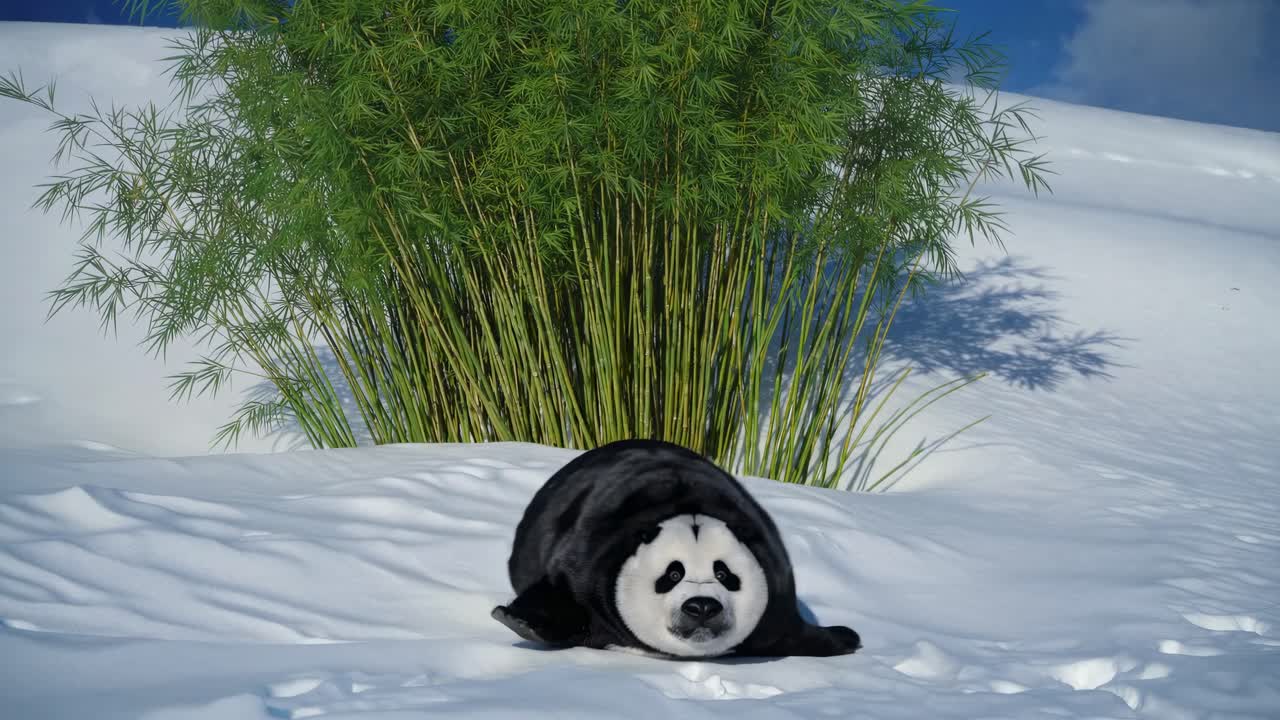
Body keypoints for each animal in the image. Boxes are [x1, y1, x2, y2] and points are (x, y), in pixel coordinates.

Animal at [491, 438, 862, 658]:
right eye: (672, 574)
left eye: (724, 574)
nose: (702, 607)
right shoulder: (587, 555)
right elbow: (559, 591)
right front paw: (518, 620)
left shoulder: (776, 584)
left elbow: (790, 630)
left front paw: (844, 637)